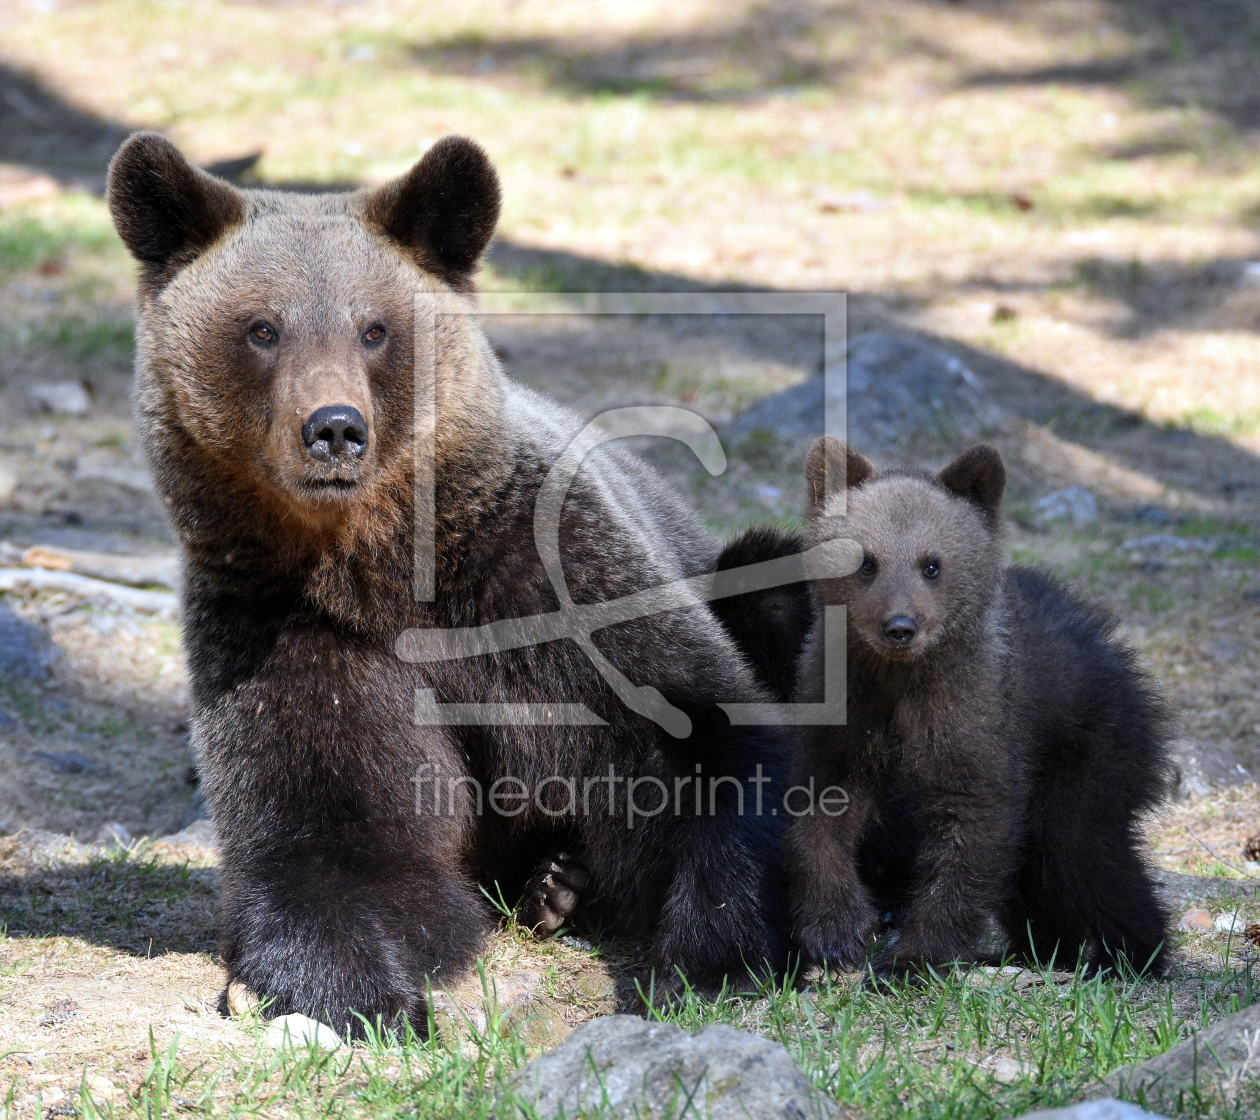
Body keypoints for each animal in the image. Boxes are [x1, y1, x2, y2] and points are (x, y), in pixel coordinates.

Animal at [110, 129, 796, 1033]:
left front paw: (706, 949)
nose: (334, 429)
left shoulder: (546, 580)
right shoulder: (287, 626)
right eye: (262, 327)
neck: (378, 560)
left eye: (372, 328)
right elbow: (333, 829)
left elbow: (698, 734)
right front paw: (354, 987)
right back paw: (555, 883)